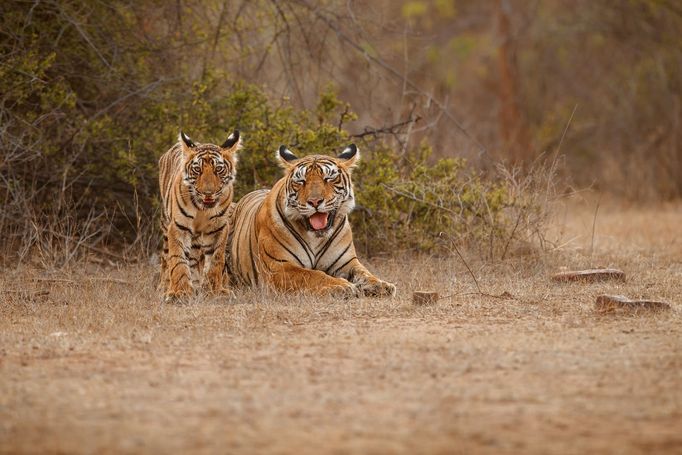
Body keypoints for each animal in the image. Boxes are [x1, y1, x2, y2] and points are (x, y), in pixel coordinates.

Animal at [158, 130, 240, 302]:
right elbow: (178, 259)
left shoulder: (219, 228)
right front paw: (180, 292)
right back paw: (164, 287)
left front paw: (214, 291)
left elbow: (215, 261)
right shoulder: (178, 227)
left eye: (218, 169)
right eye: (197, 170)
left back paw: (197, 285)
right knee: (165, 258)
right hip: (165, 225)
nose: (208, 193)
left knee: (194, 258)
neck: (202, 209)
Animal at [226, 144, 394, 298]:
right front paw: (341, 286)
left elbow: (365, 274)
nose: (314, 201)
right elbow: (312, 275)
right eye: (301, 181)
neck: (315, 237)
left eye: (329, 178)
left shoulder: (347, 263)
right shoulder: (279, 267)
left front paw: (382, 285)